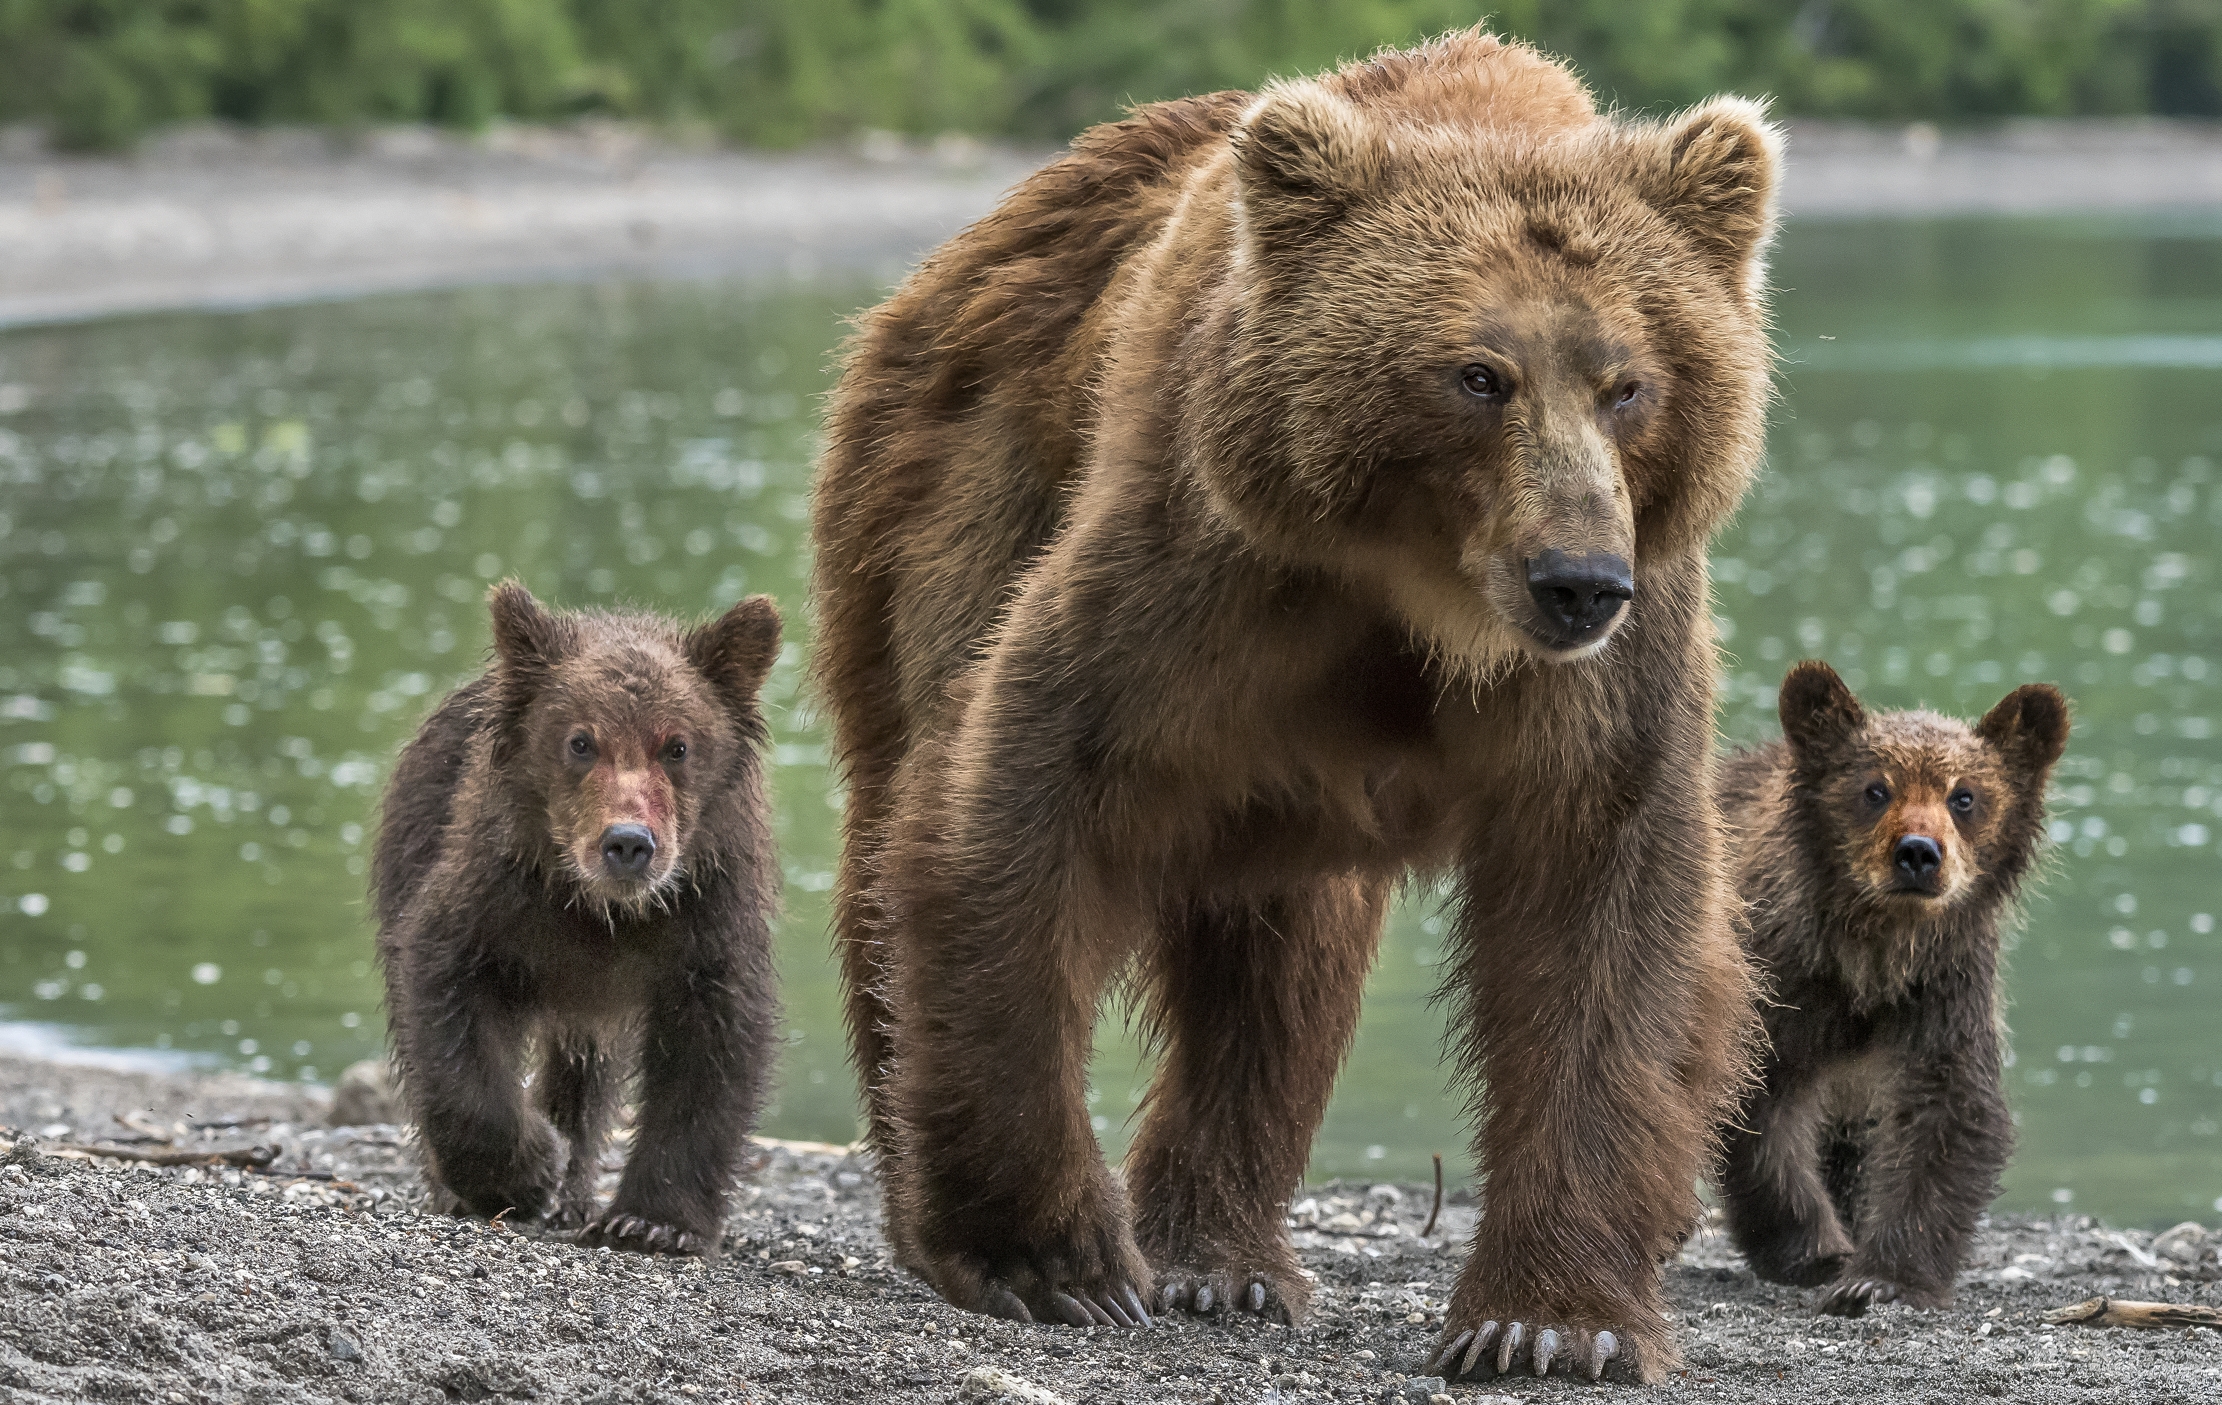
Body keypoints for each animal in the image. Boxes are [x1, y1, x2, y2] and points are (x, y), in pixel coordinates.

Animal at [372, 581, 782, 1255]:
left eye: (678, 745)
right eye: (580, 741)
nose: (628, 842)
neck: (602, 911)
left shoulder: (704, 920)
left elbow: (711, 1052)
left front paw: (653, 1221)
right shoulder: (495, 901)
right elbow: (447, 1008)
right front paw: (528, 1169)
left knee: (586, 1073)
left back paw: (576, 1190)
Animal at [810, 29, 1779, 1382]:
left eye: (1627, 381)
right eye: (1477, 374)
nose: (1577, 579)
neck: (1418, 596)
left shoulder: (1606, 677)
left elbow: (1604, 913)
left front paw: (1544, 1321)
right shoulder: (1201, 573)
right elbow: (1023, 796)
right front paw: (1051, 1258)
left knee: (1280, 964)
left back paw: (1221, 1257)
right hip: (951, 479)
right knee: (896, 821)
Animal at [1714, 661, 2070, 1315]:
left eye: (1964, 795)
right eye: (1875, 789)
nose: (1918, 853)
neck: (1872, 956)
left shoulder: (1944, 988)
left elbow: (1948, 1108)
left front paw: (1883, 1275)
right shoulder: (1780, 979)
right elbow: (1760, 1101)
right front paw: (1814, 1251)